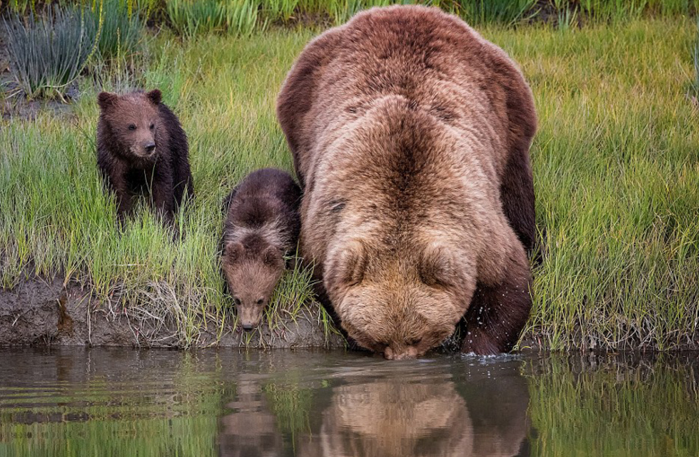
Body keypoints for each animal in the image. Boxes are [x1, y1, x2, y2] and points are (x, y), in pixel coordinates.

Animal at [95, 89, 194, 223]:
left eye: (151, 125)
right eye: (131, 126)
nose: (149, 146)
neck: (132, 157)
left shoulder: (157, 160)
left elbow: (162, 187)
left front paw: (163, 220)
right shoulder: (113, 160)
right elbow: (117, 190)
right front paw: (124, 219)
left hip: (177, 146)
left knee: (183, 179)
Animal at [276, 5, 540, 358]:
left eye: (419, 335)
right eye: (380, 339)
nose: (402, 360)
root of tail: (405, 9)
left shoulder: (479, 229)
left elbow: (507, 286)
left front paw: (477, 347)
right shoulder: (324, 230)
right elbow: (323, 284)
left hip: (507, 106)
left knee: (517, 190)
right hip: (302, 103)